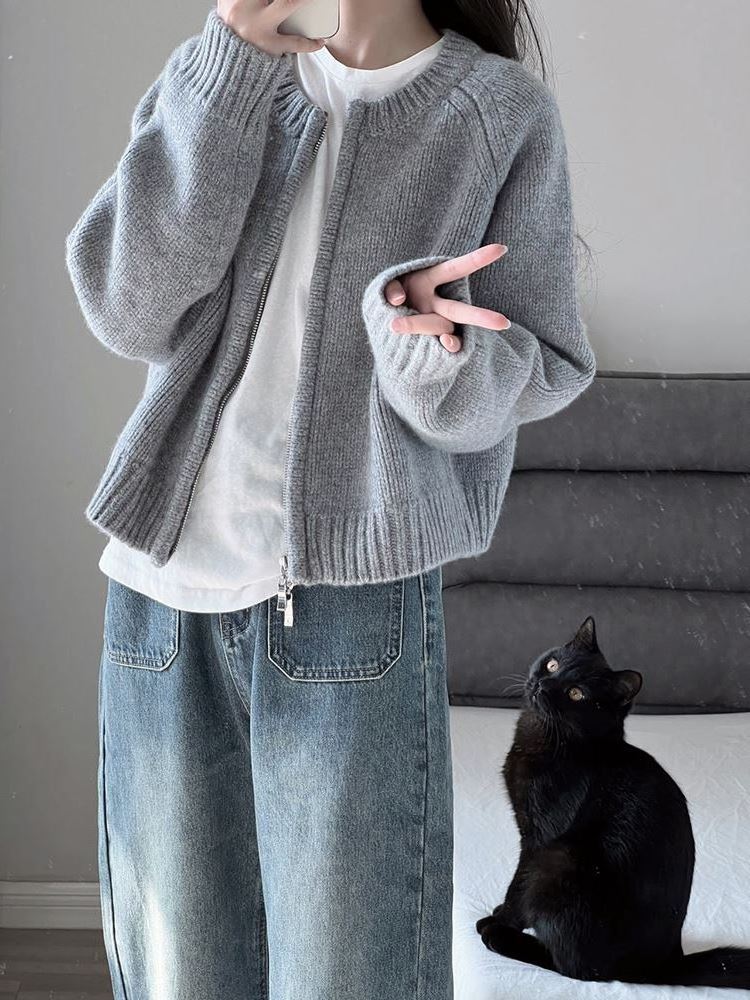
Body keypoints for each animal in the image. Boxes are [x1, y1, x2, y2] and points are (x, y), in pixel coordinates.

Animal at [475, 615, 750, 989]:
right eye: (552, 664)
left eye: (576, 693)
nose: (544, 684)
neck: (550, 739)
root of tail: (663, 965)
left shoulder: (537, 840)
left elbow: (518, 884)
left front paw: (502, 917)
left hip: (560, 863)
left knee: (577, 967)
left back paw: (500, 937)